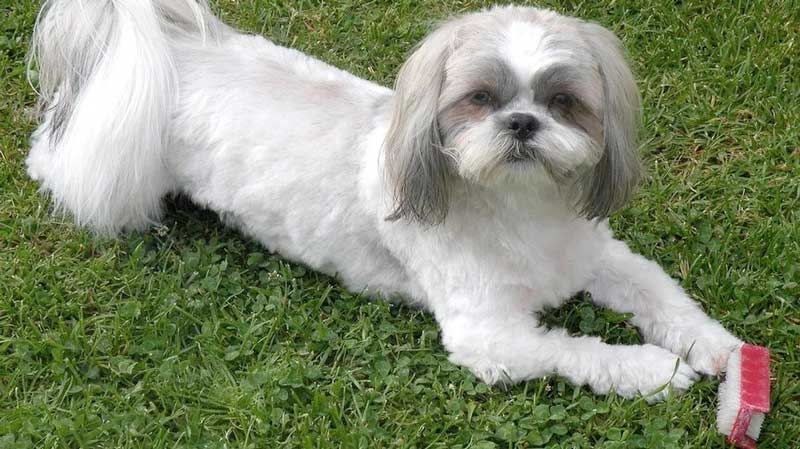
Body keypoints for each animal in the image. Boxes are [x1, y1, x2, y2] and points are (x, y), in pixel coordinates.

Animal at [27, 0, 742, 402]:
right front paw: (653, 370)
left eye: (563, 101)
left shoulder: (599, 255)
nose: (521, 123)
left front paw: (718, 349)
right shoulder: (492, 335)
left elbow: (662, 295)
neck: (520, 209)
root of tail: (173, 47)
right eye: (478, 99)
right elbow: (579, 349)